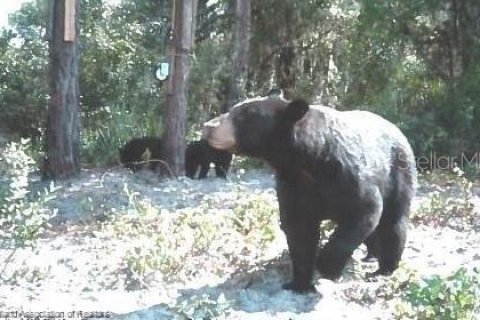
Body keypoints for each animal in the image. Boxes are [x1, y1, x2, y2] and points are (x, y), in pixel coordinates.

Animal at [202, 96, 416, 294]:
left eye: (242, 116)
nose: (208, 126)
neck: (308, 162)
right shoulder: (294, 185)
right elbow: (299, 230)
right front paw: (298, 283)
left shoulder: (348, 175)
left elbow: (366, 210)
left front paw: (326, 266)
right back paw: (371, 255)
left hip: (399, 173)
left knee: (393, 223)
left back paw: (384, 269)